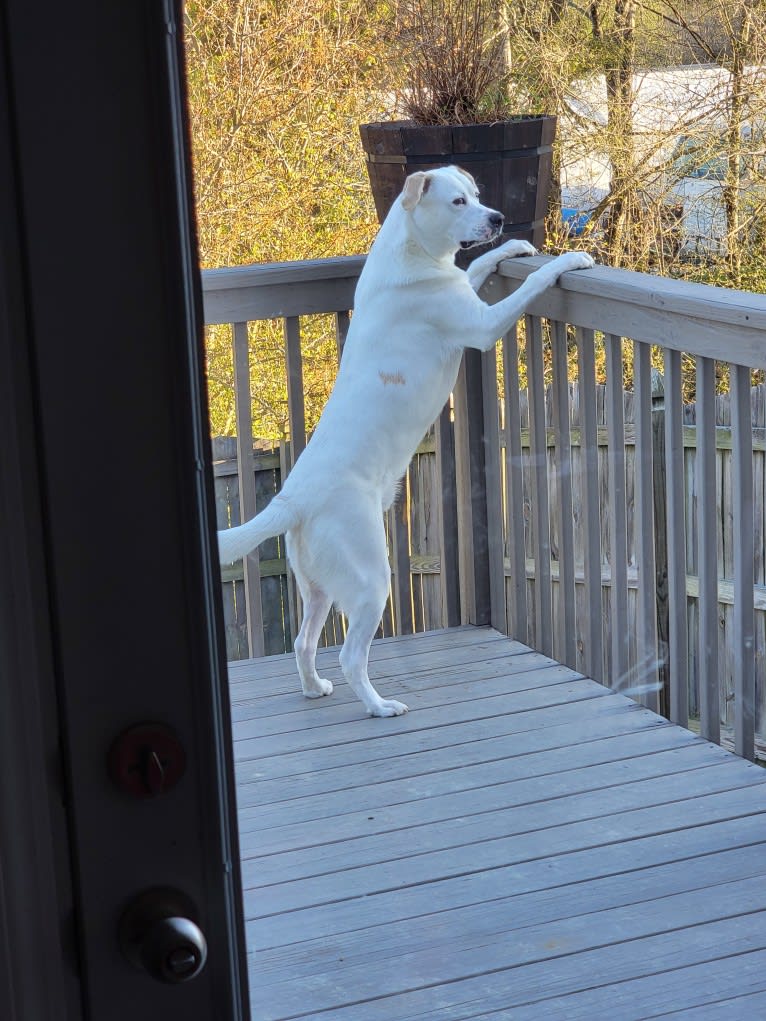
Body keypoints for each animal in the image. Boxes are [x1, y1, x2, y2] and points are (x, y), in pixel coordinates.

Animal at [218, 163, 596, 714]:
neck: (415, 252)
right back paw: (378, 706)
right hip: (371, 579)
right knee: (349, 655)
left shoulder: (464, 290)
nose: (498, 217)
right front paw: (568, 259)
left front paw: (515, 247)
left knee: (304, 642)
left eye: (477, 196)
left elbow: (480, 264)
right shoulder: (481, 325)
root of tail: (292, 500)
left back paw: (313, 688)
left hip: (318, 586)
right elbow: (532, 284)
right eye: (458, 201)